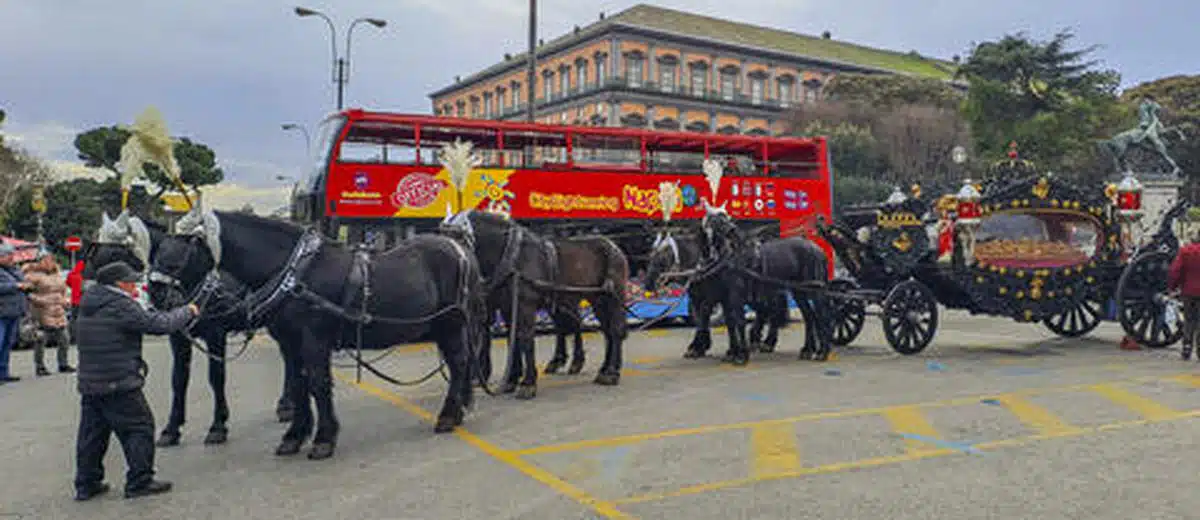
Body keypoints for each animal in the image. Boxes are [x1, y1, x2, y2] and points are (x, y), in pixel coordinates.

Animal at [82, 211, 295, 446]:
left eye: (116, 255)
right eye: (95, 255)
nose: (89, 289)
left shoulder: (216, 334)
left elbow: (216, 376)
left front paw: (218, 425)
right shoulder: (178, 336)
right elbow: (179, 379)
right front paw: (172, 429)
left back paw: (287, 405)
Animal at [153, 206, 482, 458]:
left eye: (180, 252)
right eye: (158, 249)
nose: (155, 295)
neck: (297, 272)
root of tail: (460, 248)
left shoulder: (314, 338)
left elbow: (318, 383)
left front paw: (324, 438)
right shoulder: (289, 342)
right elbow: (299, 384)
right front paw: (294, 435)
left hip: (451, 323)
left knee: (459, 362)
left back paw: (448, 415)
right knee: (460, 362)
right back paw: (459, 410)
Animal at [441, 211, 628, 396]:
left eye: (456, 237)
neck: (513, 256)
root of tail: (616, 247)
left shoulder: (525, 306)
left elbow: (525, 338)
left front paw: (528, 383)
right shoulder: (507, 308)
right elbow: (512, 339)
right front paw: (511, 380)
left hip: (613, 297)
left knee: (614, 330)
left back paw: (611, 373)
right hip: (597, 300)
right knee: (605, 331)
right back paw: (603, 369)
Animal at [700, 202, 830, 360]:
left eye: (726, 216)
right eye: (717, 220)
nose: (732, 229)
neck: (730, 256)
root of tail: (817, 249)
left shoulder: (736, 293)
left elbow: (739, 320)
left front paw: (741, 355)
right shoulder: (723, 295)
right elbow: (730, 322)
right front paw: (733, 352)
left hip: (814, 289)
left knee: (821, 315)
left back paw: (823, 352)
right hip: (798, 291)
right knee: (809, 316)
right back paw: (807, 350)